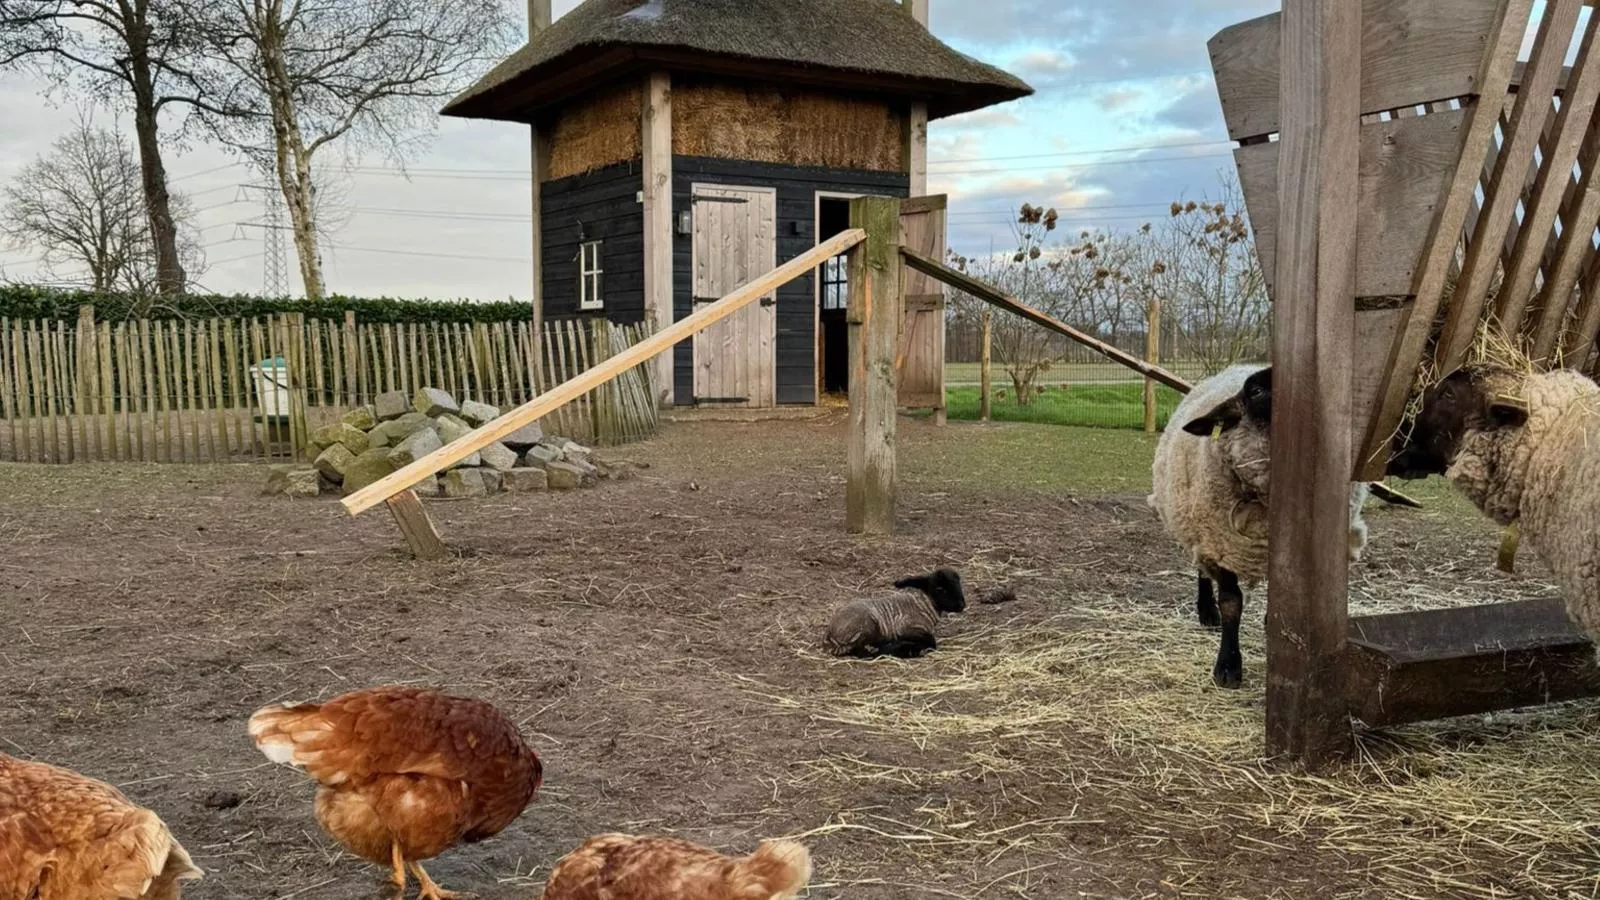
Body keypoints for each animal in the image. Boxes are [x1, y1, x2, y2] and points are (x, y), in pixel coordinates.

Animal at [832, 570, 966, 656]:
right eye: (940, 589)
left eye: (959, 584)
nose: (962, 605)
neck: (925, 605)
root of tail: (830, 635)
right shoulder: (905, 627)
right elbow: (931, 641)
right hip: (866, 627)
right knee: (862, 651)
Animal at [1145, 365, 1369, 685]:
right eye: (1257, 391)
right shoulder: (1220, 545)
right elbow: (1231, 603)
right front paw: (1228, 666)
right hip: (1197, 527)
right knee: (1202, 571)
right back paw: (1206, 612)